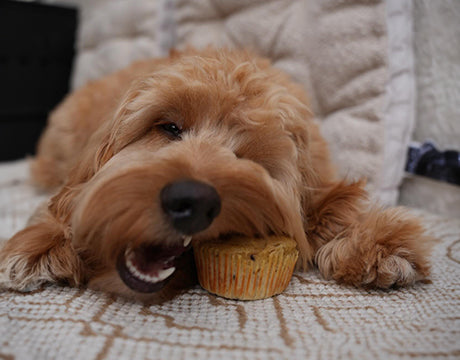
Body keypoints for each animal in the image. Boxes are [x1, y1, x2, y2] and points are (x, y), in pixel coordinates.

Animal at [0, 47, 432, 298]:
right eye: (169, 127)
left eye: (249, 160)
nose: (191, 201)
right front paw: (39, 244)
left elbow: (335, 207)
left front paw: (374, 240)